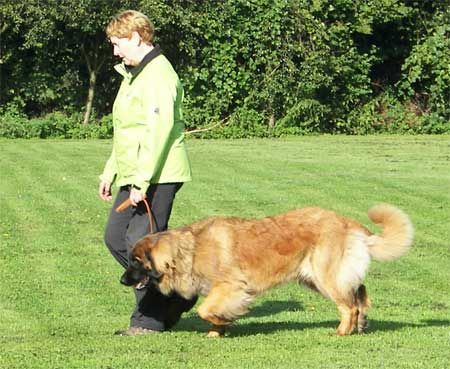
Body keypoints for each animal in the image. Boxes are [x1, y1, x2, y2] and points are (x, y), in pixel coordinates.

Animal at [120, 204, 414, 336]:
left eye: (136, 261)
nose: (122, 279)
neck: (188, 250)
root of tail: (349, 223)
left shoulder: (232, 286)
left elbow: (205, 310)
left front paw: (223, 323)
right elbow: (209, 312)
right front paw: (217, 331)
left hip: (325, 276)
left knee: (349, 305)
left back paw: (342, 331)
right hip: (317, 277)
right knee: (359, 291)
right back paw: (361, 324)